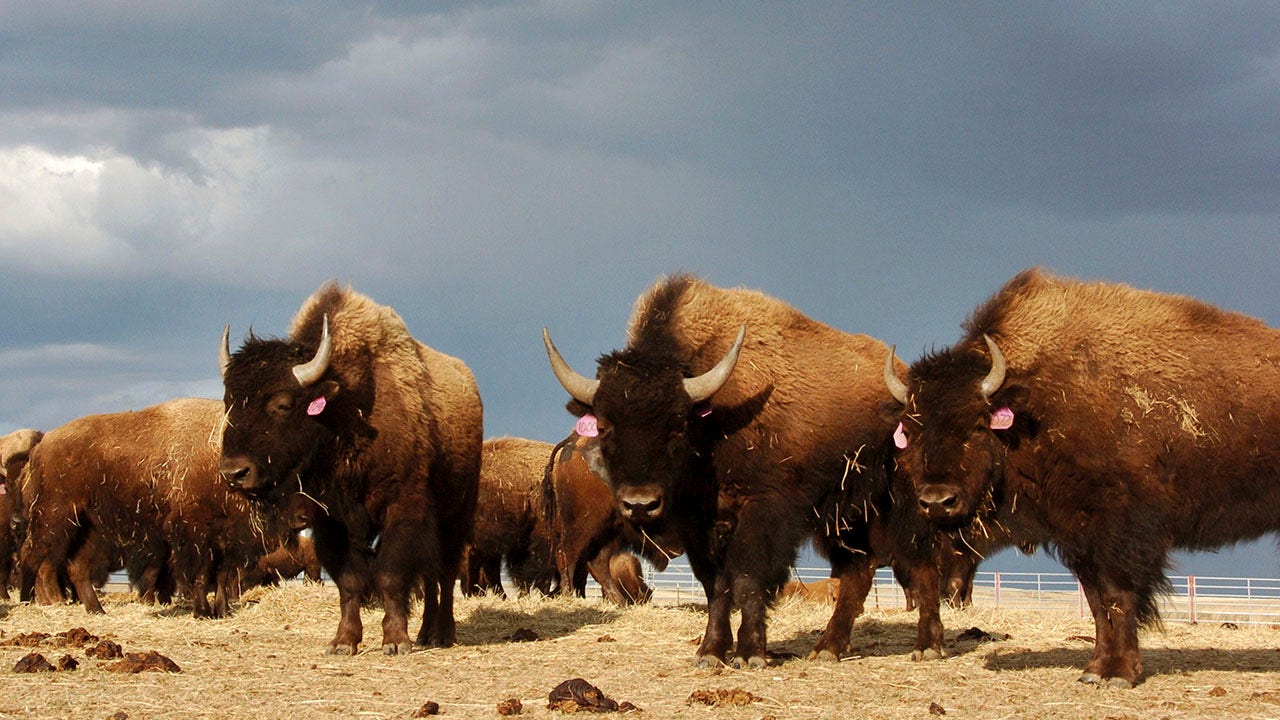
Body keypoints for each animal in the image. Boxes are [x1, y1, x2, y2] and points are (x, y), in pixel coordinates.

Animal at [16, 394, 272, 614]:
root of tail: (41, 446)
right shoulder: (195, 534)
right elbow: (199, 575)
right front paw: (203, 612)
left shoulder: (228, 538)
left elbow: (221, 577)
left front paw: (223, 611)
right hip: (56, 518)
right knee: (35, 557)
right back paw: (43, 601)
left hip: (89, 528)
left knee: (75, 566)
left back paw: (96, 609)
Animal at [217, 283, 481, 653]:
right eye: (228, 401)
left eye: (283, 404)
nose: (234, 474)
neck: (344, 410)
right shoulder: (329, 521)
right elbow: (350, 581)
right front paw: (344, 641)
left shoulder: (400, 507)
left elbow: (391, 574)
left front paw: (396, 641)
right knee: (431, 576)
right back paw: (427, 633)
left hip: (456, 515)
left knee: (443, 573)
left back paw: (442, 634)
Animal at [542, 430, 680, 604]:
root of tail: (575, 439)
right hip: (586, 523)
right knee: (567, 554)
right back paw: (570, 596)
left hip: (607, 528)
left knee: (597, 562)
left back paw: (618, 601)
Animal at [885, 267, 1280, 681]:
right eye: (910, 430)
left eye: (978, 425)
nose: (937, 501)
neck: (1035, 402)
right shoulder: (1078, 537)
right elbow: (1096, 603)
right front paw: (1095, 668)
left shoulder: (1120, 533)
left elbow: (1118, 596)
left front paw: (1121, 673)